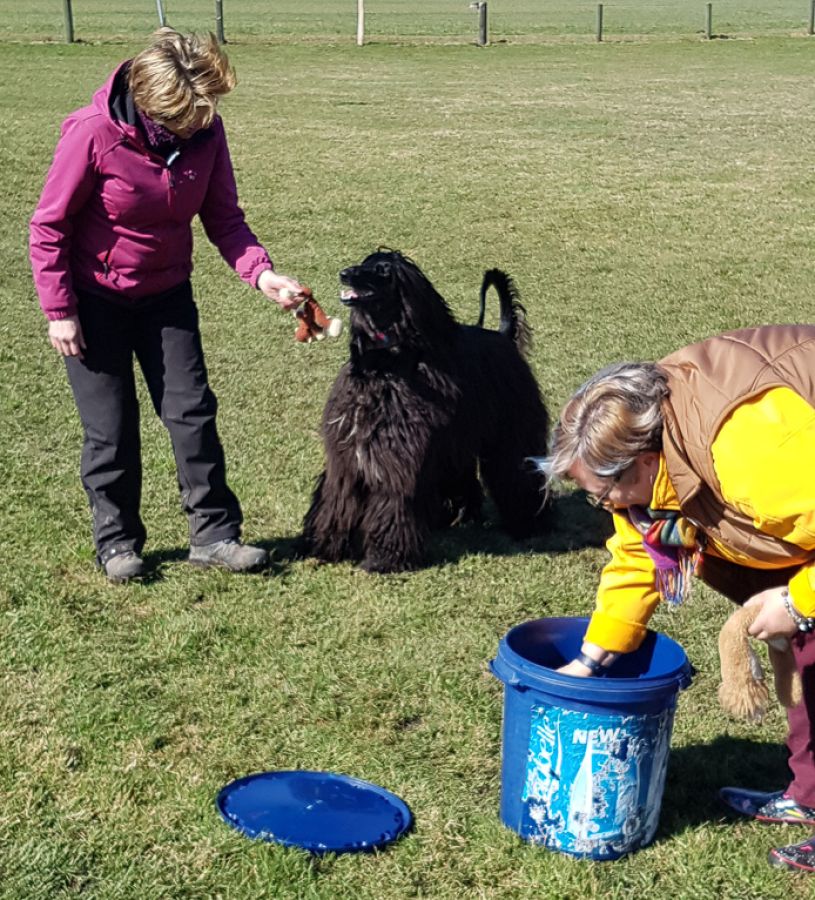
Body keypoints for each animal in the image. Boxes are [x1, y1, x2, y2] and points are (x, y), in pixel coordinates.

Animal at [299, 249, 550, 573]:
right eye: (365, 262)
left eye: (383, 271)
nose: (345, 273)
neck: (386, 364)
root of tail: (503, 336)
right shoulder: (348, 456)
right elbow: (336, 499)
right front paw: (323, 546)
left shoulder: (397, 456)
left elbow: (393, 500)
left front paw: (384, 556)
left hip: (512, 430)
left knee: (516, 472)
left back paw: (528, 522)